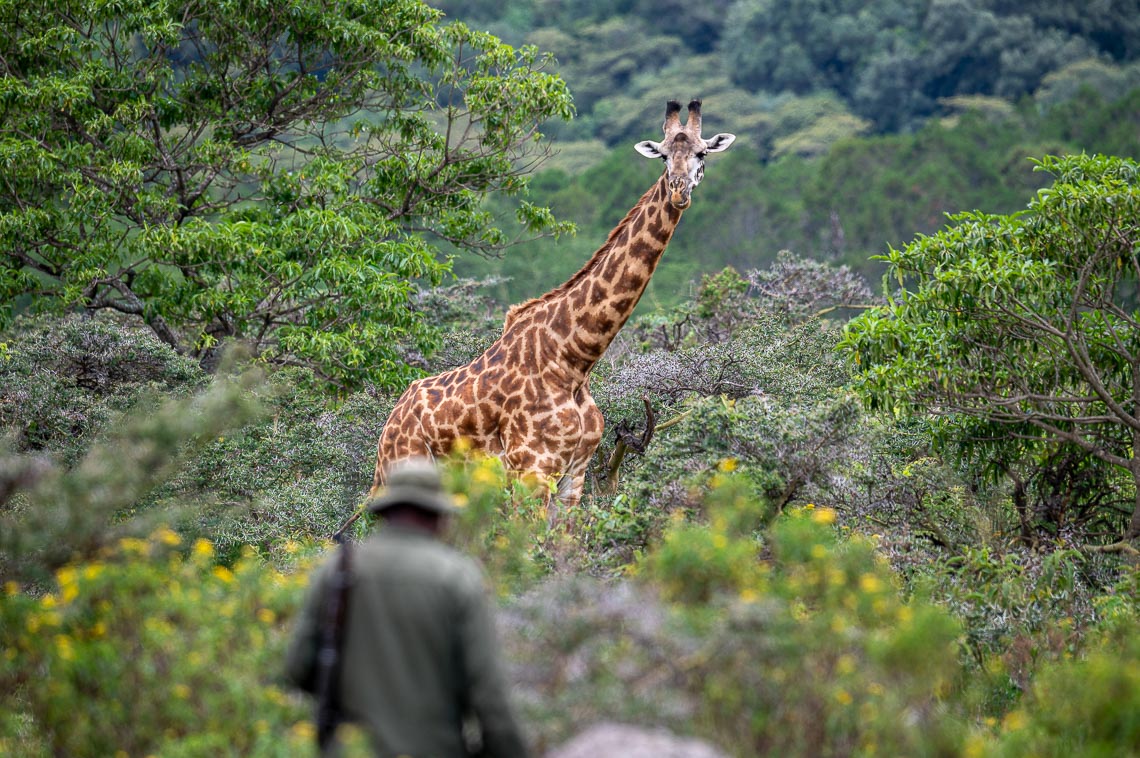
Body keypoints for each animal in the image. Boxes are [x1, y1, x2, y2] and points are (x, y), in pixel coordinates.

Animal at [369, 99, 734, 515]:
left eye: (702, 153)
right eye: (662, 156)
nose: (678, 193)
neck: (575, 358)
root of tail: (389, 425)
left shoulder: (573, 475)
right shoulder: (533, 469)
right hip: (399, 472)